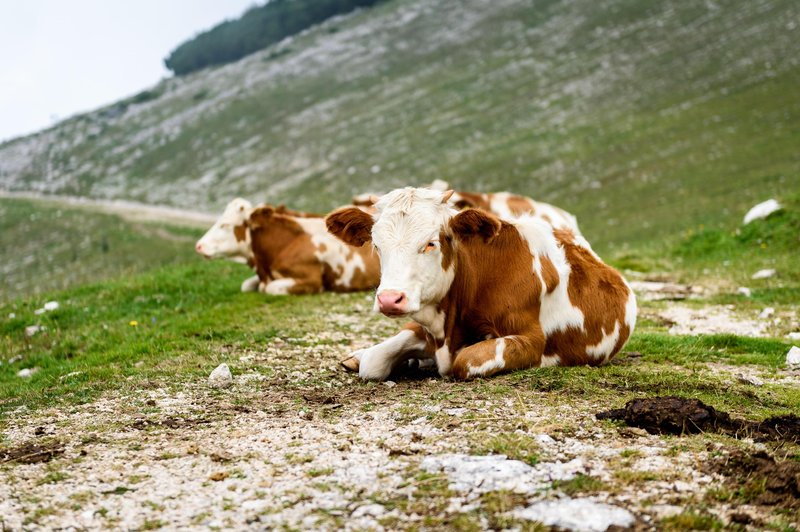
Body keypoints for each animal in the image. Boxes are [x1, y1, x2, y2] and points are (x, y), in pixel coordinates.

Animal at [324, 187, 636, 378]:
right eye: (376, 245)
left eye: (431, 243)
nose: (390, 298)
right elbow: (373, 362)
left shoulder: (532, 340)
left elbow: (467, 360)